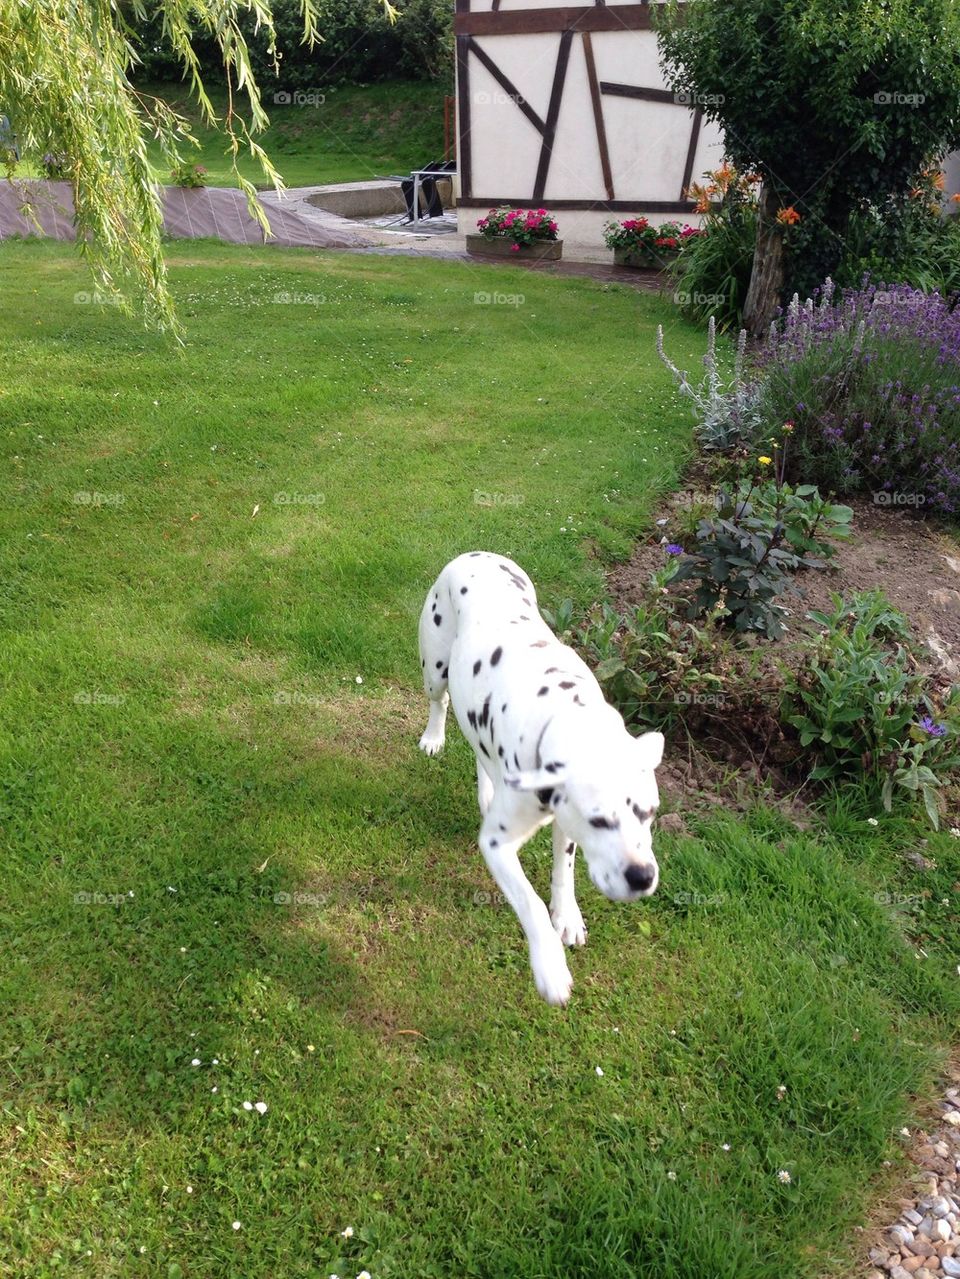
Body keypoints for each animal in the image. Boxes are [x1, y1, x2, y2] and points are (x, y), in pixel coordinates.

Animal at [416, 549, 664, 1007]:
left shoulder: (563, 825)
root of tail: (476, 552)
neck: (565, 713)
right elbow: (529, 901)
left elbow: (562, 871)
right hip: (435, 669)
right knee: (440, 703)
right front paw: (549, 966)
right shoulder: (497, 845)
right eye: (598, 820)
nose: (642, 877)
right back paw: (433, 737)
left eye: (650, 812)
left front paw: (566, 916)